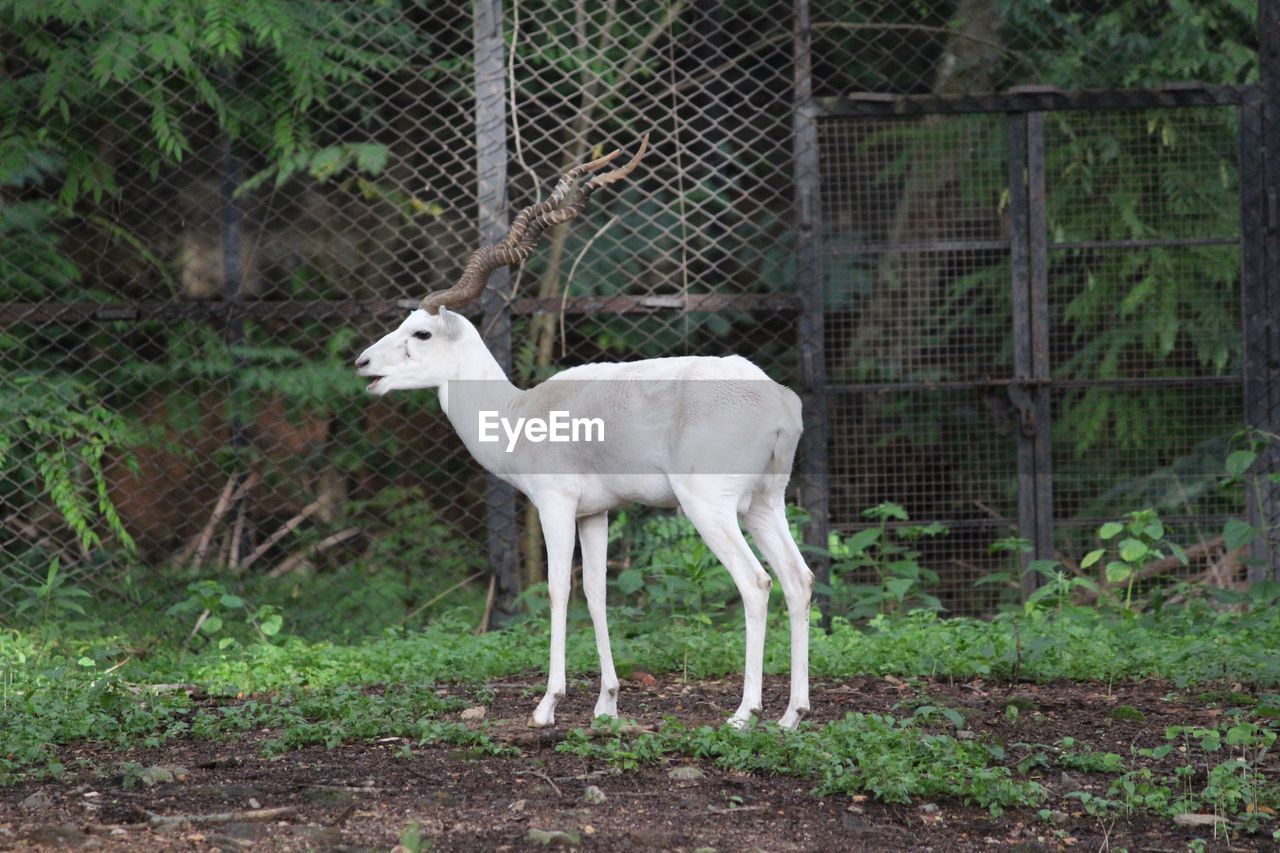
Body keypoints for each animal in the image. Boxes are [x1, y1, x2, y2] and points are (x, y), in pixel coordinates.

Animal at [353, 137, 808, 722]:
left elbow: (555, 590)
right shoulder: (597, 513)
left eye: (421, 333)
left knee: (756, 583)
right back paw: (793, 715)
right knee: (798, 579)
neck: (518, 412)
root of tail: (779, 400)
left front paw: (547, 704)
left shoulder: (555, 503)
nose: (363, 363)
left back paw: (744, 715)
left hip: (709, 505)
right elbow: (595, 591)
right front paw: (606, 704)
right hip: (764, 503)